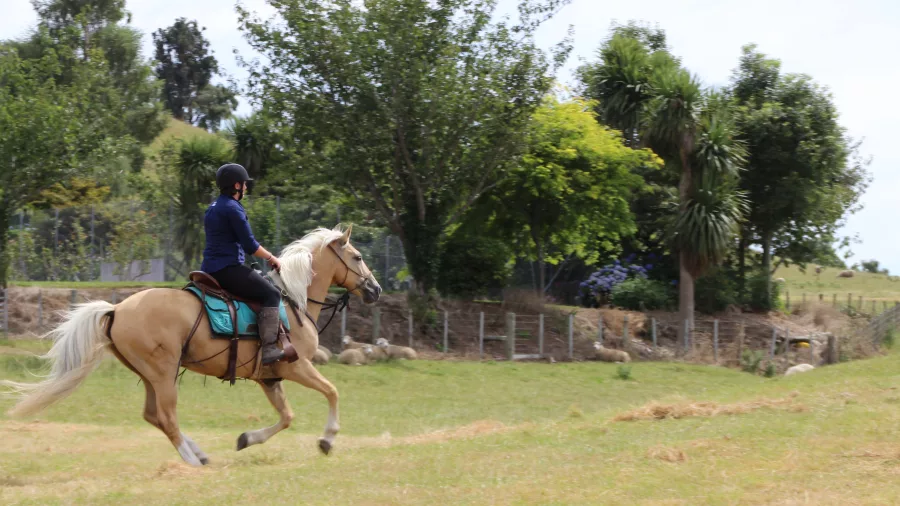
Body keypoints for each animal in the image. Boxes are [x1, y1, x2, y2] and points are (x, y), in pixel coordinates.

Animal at [1, 225, 381, 466]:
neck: (292, 301)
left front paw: (247, 439)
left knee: (153, 415)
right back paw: (192, 461)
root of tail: (117, 309)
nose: (375, 290)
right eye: (359, 257)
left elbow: (287, 417)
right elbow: (332, 392)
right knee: (167, 418)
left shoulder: (269, 378)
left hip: (152, 376)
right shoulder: (296, 366)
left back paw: (197, 453)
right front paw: (327, 439)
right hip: (163, 374)